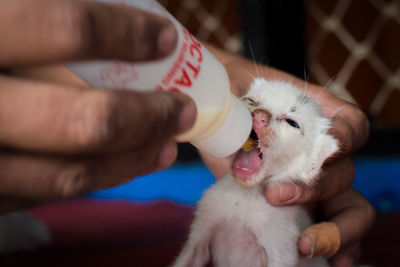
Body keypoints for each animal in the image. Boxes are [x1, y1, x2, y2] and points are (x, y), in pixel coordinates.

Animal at [173, 79, 340, 267]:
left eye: (292, 123)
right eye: (252, 101)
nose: (259, 115)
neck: (247, 194)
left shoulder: (281, 248)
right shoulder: (202, 230)